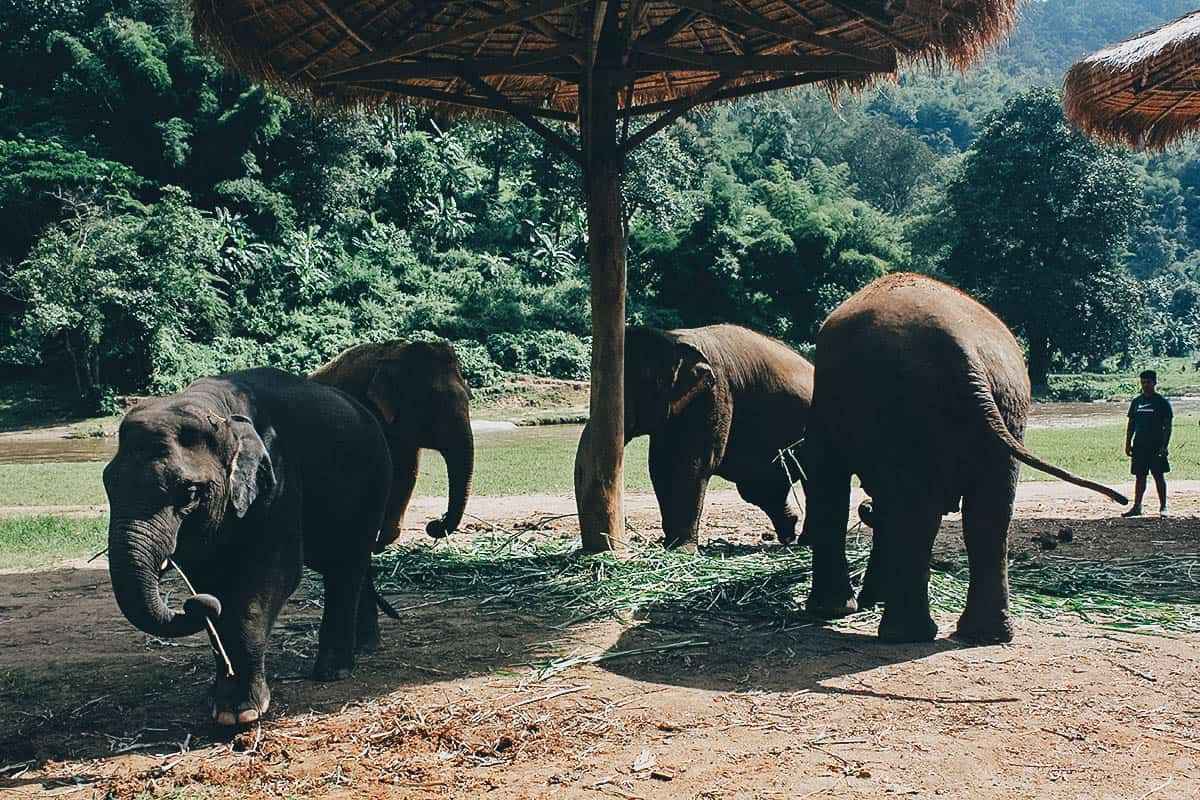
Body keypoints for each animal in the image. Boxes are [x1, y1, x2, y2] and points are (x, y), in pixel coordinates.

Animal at [103, 369, 393, 724]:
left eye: (188, 492)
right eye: (107, 484)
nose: (192, 605)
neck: (216, 410)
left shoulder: (279, 477)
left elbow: (273, 574)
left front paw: (242, 714)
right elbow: (210, 579)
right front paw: (222, 703)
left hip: (374, 480)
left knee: (346, 563)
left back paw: (334, 671)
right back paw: (364, 646)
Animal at [576, 326, 811, 551]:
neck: (672, 338)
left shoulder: (714, 395)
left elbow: (692, 465)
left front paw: (682, 550)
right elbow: (661, 467)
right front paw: (669, 545)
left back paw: (804, 541)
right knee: (759, 488)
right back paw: (789, 534)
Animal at [801, 273, 1128, 642]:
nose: (870, 598)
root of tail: (962, 348)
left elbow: (823, 474)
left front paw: (831, 610)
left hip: (909, 409)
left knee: (918, 514)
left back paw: (906, 635)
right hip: (1008, 405)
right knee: (989, 514)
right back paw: (984, 635)